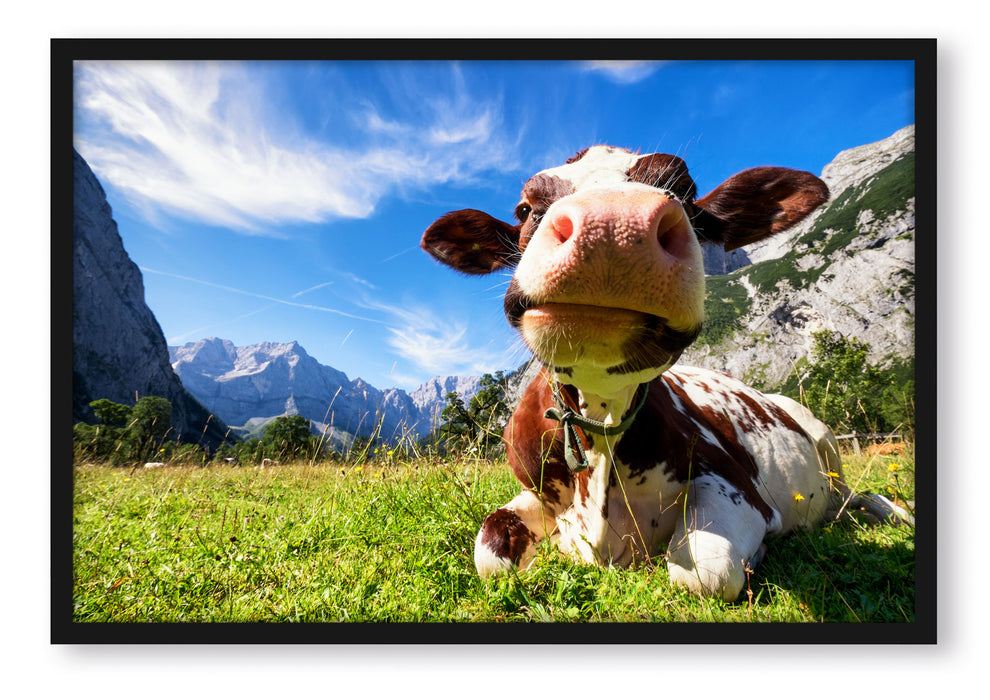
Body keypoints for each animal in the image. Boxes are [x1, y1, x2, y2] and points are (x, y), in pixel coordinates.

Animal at [421, 145, 911, 601]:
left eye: (686, 190)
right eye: (525, 209)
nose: (612, 225)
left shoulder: (736, 484)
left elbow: (705, 571)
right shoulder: (535, 493)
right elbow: (489, 552)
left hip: (825, 439)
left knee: (853, 497)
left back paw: (889, 512)